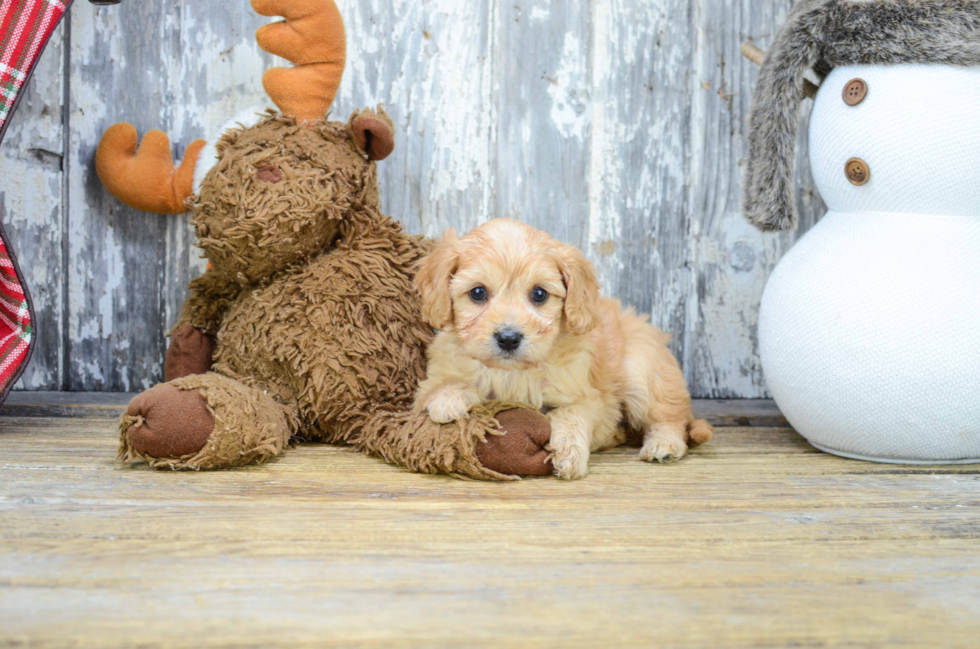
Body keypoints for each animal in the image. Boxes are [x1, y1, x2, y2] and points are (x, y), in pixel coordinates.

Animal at [414, 220, 712, 478]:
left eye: (539, 294)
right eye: (478, 292)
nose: (508, 338)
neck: (513, 372)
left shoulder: (592, 399)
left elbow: (570, 413)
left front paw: (569, 452)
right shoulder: (430, 380)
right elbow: (446, 386)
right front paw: (449, 397)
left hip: (642, 370)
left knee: (670, 417)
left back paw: (664, 445)